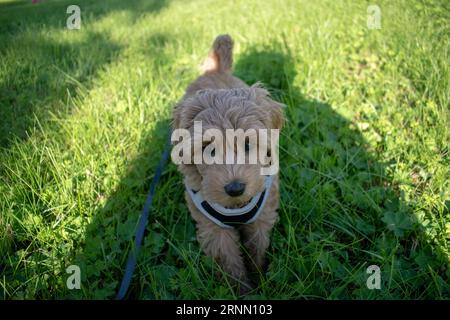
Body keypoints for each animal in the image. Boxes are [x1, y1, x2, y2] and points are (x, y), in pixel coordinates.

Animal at [171, 35, 284, 292]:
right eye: (208, 149)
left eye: (248, 144)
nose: (235, 188)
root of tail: (216, 69)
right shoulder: (214, 229)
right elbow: (229, 260)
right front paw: (242, 289)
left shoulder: (262, 216)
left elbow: (257, 247)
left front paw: (259, 277)